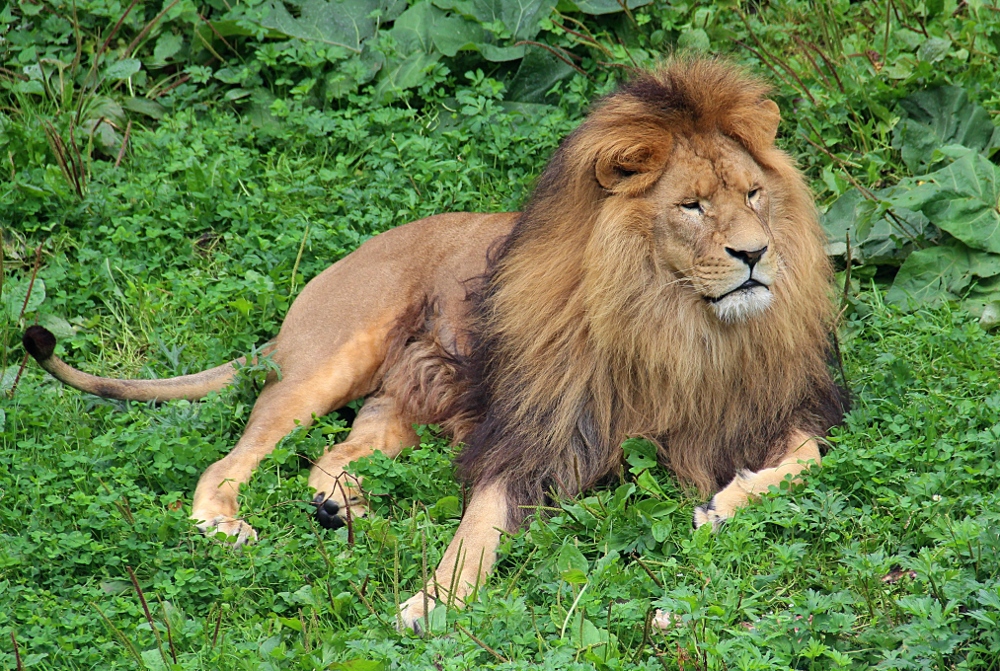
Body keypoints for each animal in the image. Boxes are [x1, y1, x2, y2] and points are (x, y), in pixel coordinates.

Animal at [23, 57, 844, 632]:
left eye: (753, 194)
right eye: (691, 206)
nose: (754, 254)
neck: (678, 325)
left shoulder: (783, 410)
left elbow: (807, 458)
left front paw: (724, 506)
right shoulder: (533, 436)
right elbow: (476, 530)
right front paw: (430, 606)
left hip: (407, 400)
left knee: (332, 453)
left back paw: (343, 509)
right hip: (328, 360)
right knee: (229, 462)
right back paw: (232, 523)